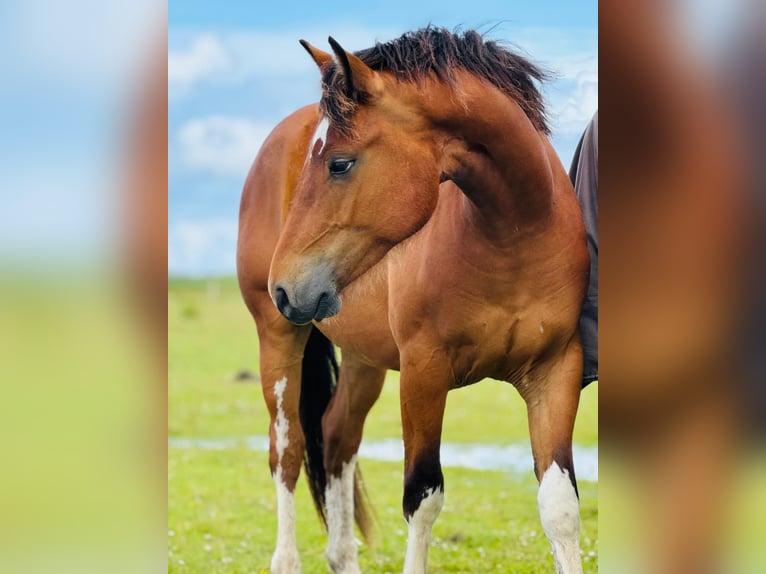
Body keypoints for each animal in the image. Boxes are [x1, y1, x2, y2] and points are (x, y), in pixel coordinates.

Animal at [237, 28, 592, 574]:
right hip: (279, 339)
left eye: (340, 163)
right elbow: (422, 498)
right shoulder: (424, 372)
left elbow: (560, 507)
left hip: (362, 357)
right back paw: (287, 557)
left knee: (337, 437)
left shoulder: (556, 373)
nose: (285, 287)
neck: (513, 238)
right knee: (288, 450)